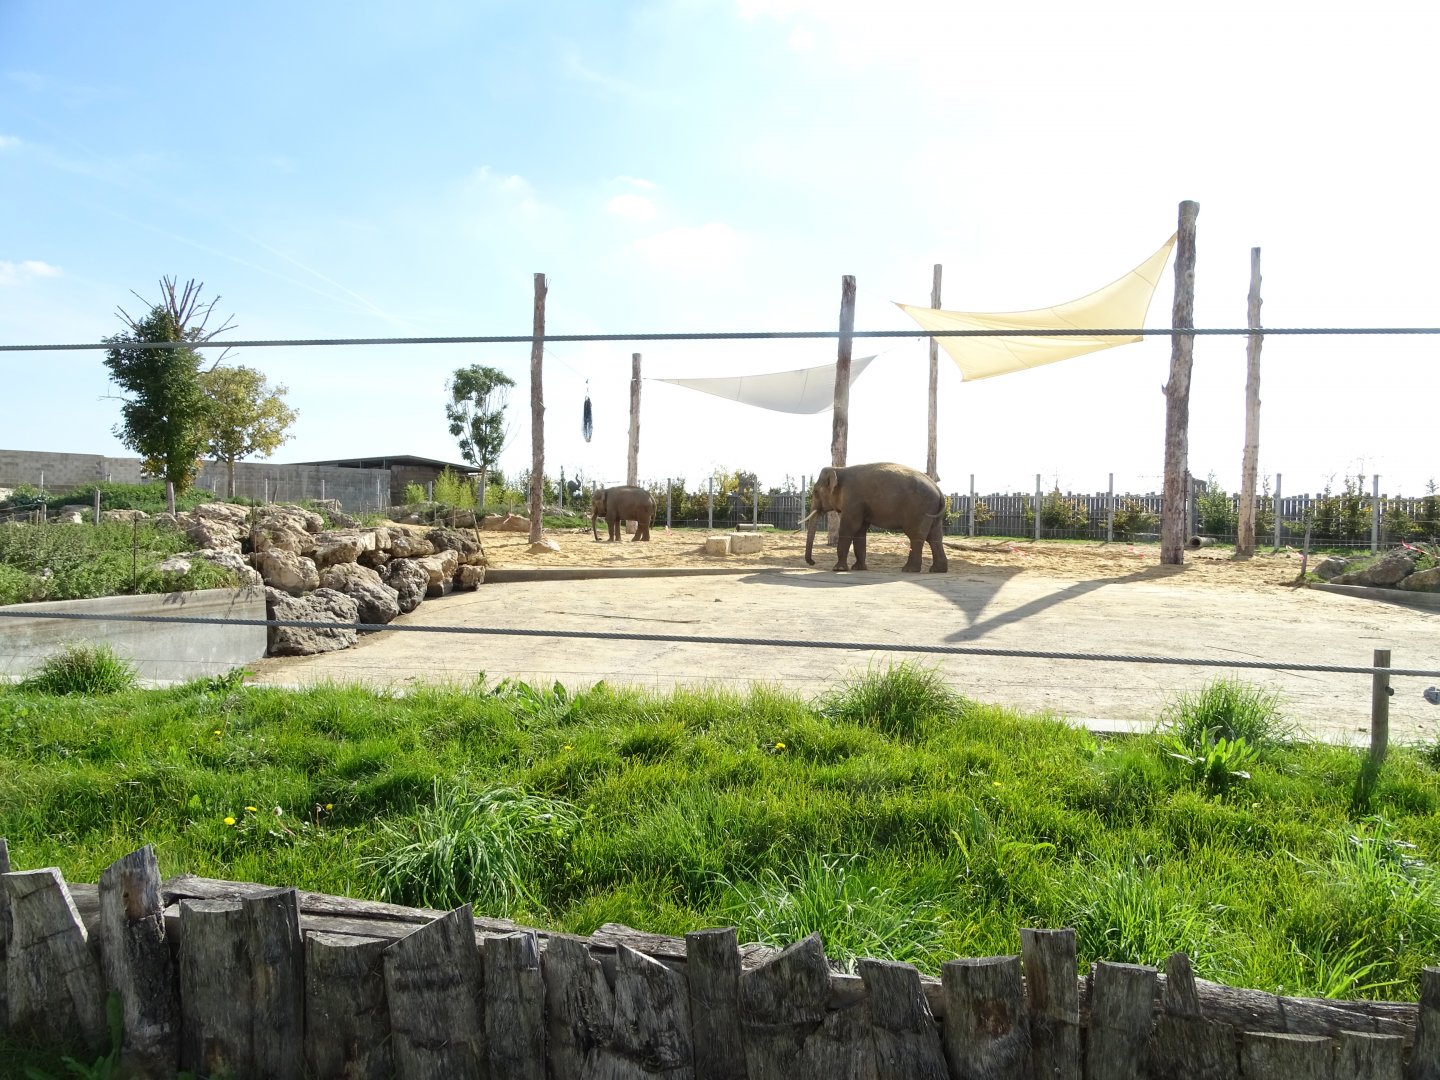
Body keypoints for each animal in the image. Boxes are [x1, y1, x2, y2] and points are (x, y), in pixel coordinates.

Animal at [803, 462, 948, 573]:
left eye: (815, 492)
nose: (812, 562)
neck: (839, 469)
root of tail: (938, 490)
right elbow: (860, 531)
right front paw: (858, 568)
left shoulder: (853, 500)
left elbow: (849, 527)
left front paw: (838, 569)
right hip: (932, 511)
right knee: (934, 537)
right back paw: (937, 570)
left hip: (919, 509)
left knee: (916, 535)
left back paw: (909, 570)